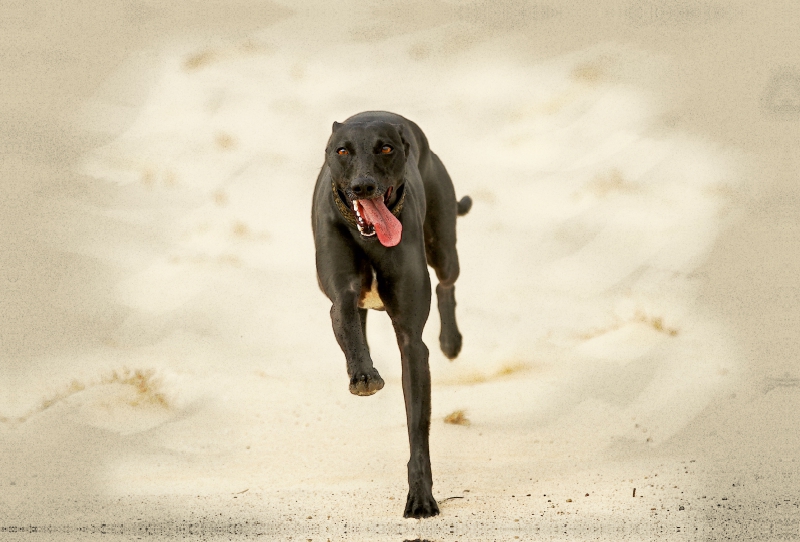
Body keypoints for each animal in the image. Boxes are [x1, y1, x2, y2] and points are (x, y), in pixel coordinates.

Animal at [310, 109, 472, 520]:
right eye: (342, 150)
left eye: (385, 148)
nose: (364, 186)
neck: (368, 236)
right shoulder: (340, 293)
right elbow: (347, 319)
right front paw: (364, 375)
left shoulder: (412, 344)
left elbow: (417, 427)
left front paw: (420, 498)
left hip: (443, 246)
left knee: (447, 283)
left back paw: (451, 340)